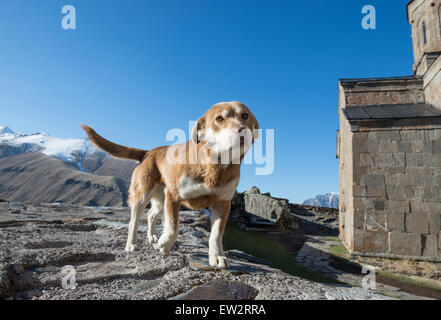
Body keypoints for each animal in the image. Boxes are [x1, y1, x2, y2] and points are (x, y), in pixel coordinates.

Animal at [81, 101, 258, 268]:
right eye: (219, 118)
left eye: (245, 116)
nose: (242, 130)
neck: (214, 164)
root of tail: (148, 152)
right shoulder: (174, 196)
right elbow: (173, 227)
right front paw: (164, 244)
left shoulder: (222, 203)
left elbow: (215, 234)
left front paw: (217, 257)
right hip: (143, 194)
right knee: (134, 221)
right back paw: (132, 244)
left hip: (161, 198)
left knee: (151, 214)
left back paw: (152, 236)